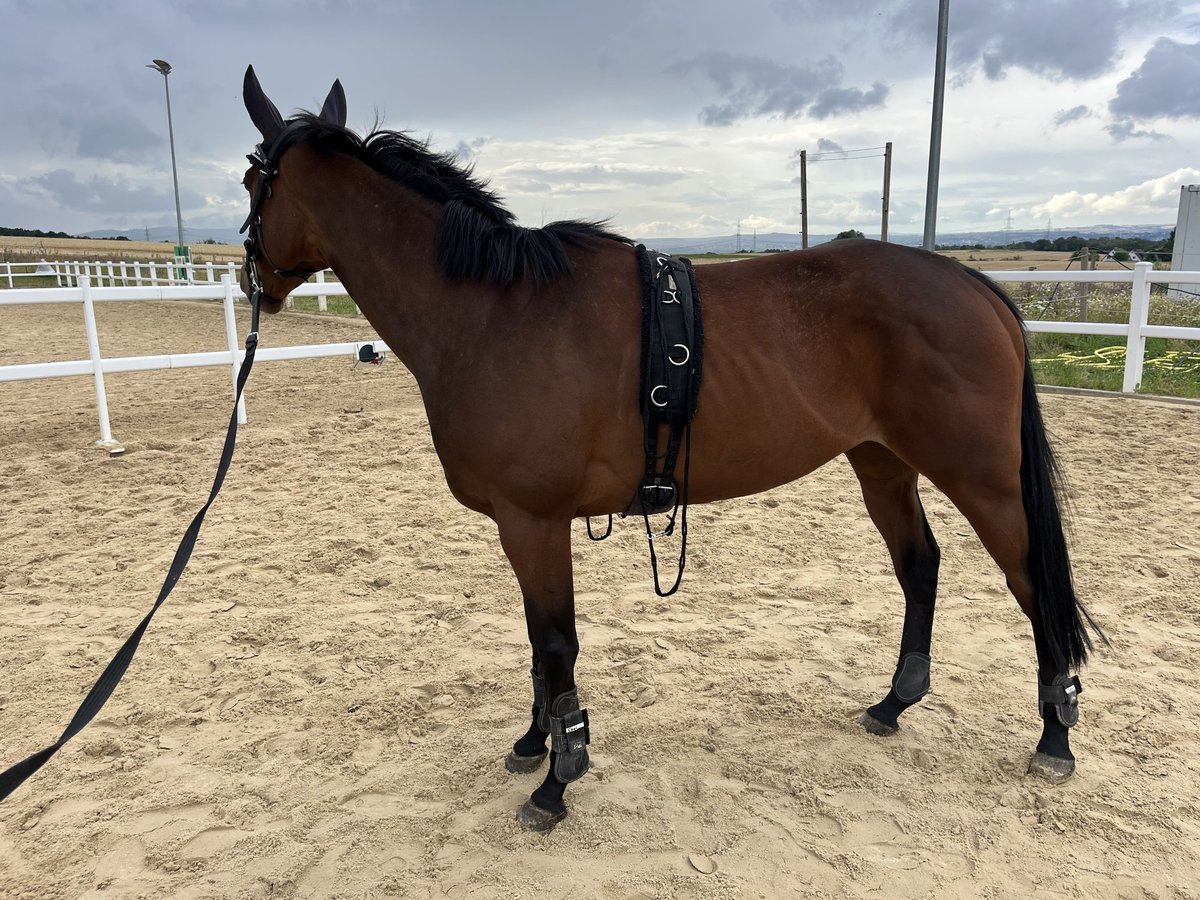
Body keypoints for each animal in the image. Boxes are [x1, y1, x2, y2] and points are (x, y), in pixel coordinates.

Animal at [238, 66, 1106, 832]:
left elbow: (556, 644)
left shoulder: (532, 520)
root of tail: (973, 285)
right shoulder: (523, 527)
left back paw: (1054, 735)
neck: (492, 313)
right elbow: (537, 645)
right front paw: (534, 742)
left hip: (981, 479)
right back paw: (895, 702)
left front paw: (558, 778)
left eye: (254, 181)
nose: (256, 284)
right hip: (880, 462)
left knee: (1030, 581)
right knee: (920, 565)